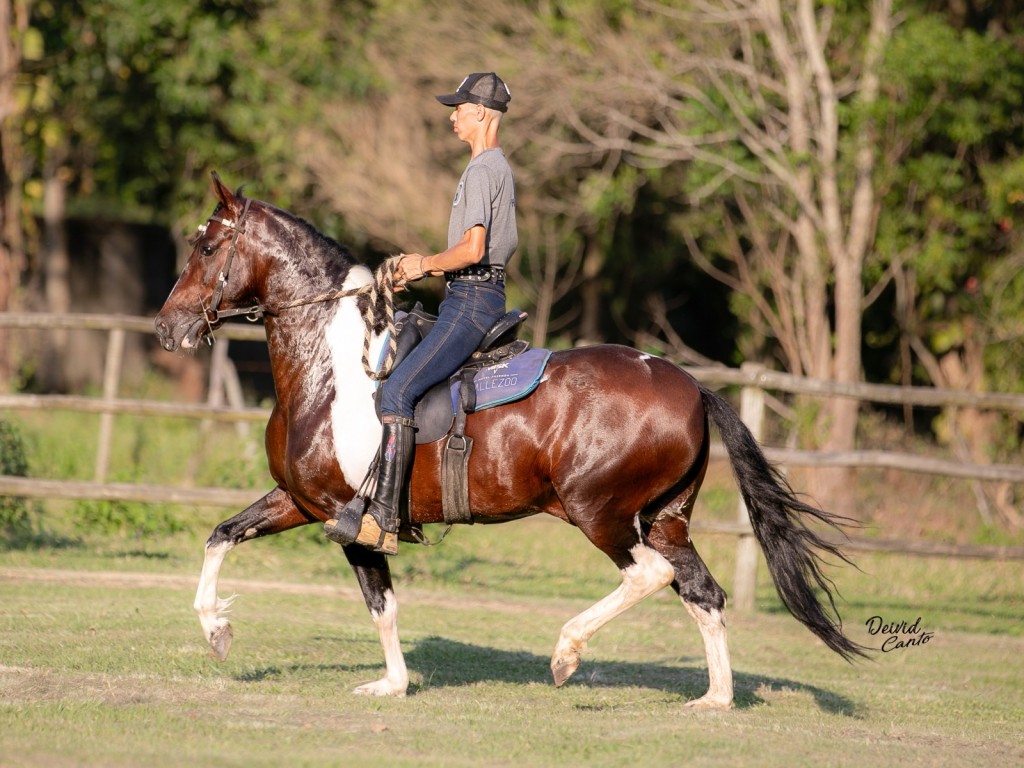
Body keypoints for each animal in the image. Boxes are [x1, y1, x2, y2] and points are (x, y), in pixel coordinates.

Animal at [155, 173, 868, 708]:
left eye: (208, 249)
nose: (168, 327)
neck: (335, 371)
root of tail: (691, 385)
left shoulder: (345, 516)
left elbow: (378, 600)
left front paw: (392, 683)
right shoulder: (299, 501)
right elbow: (222, 537)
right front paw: (218, 632)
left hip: (600, 512)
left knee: (650, 574)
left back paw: (566, 652)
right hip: (667, 518)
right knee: (702, 592)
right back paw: (714, 699)